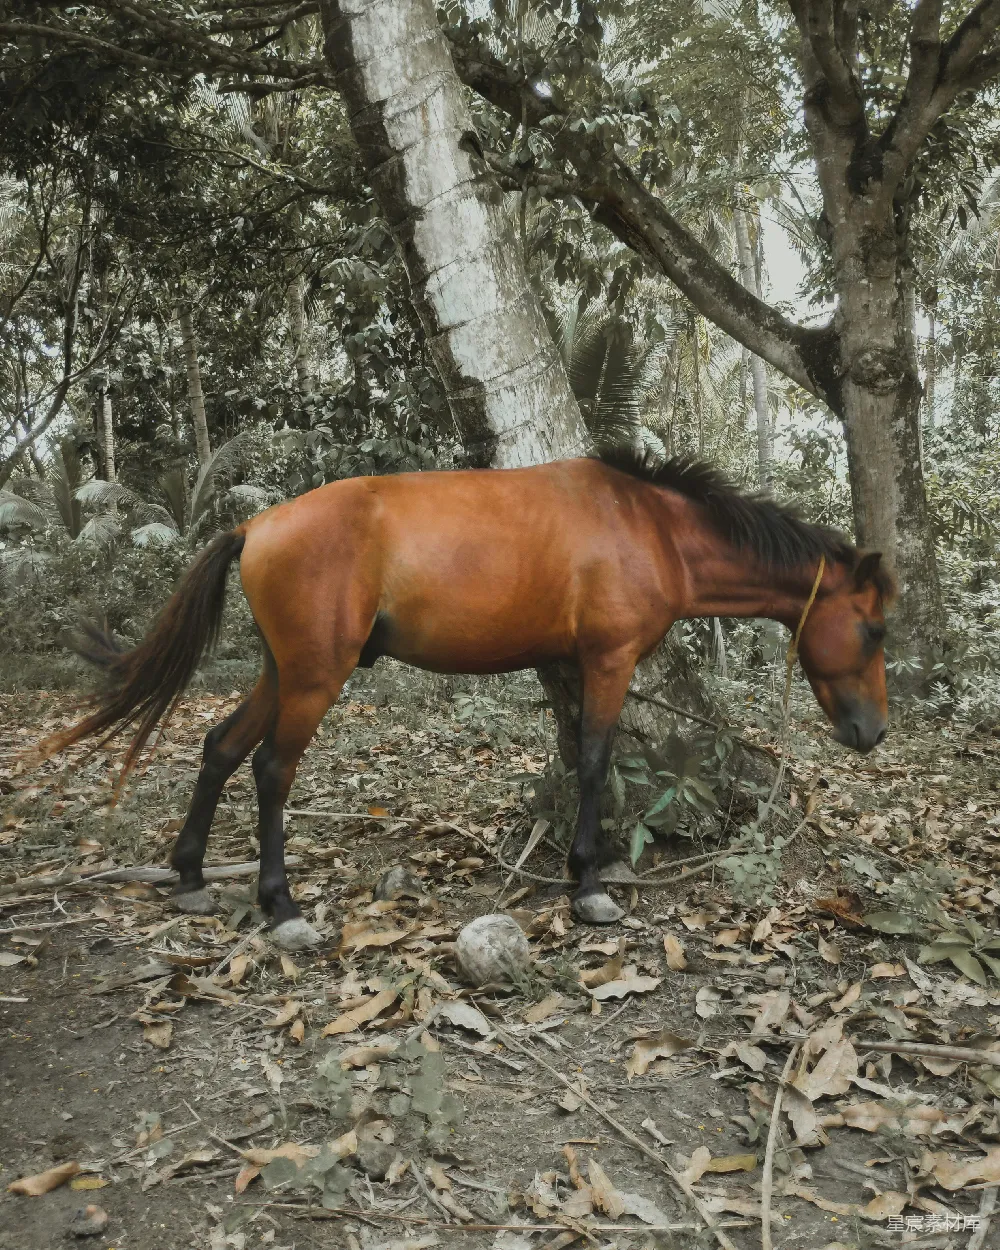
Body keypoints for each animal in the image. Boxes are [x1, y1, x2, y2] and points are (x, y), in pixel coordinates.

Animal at [41, 451, 894, 949]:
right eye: (876, 628)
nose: (873, 732)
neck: (651, 528)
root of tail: (255, 525)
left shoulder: (573, 666)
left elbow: (579, 756)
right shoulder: (609, 661)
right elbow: (594, 761)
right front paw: (588, 885)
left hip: (282, 671)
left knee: (220, 746)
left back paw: (190, 876)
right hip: (314, 677)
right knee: (273, 768)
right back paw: (281, 907)